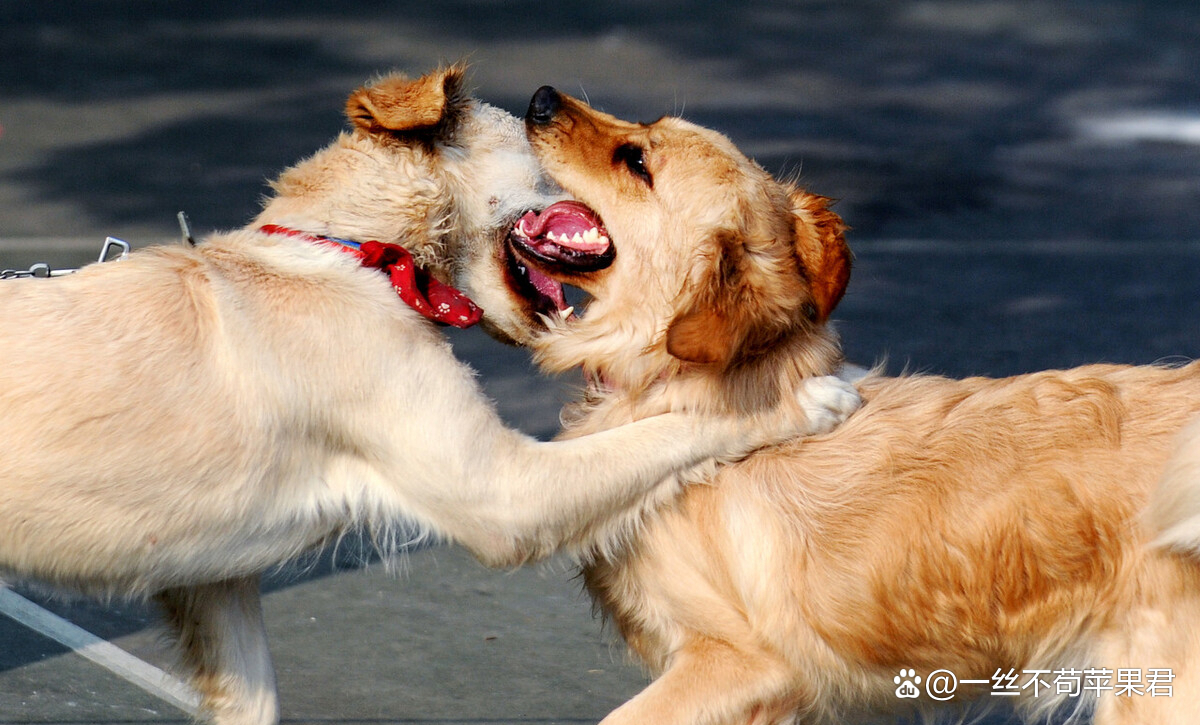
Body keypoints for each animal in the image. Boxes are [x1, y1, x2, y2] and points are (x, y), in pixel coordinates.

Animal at [0, 65, 859, 720]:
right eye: (536, 142)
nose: (546, 98)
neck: (353, 253)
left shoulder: (214, 583)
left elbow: (254, 698)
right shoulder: (503, 493)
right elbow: (674, 429)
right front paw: (809, 399)